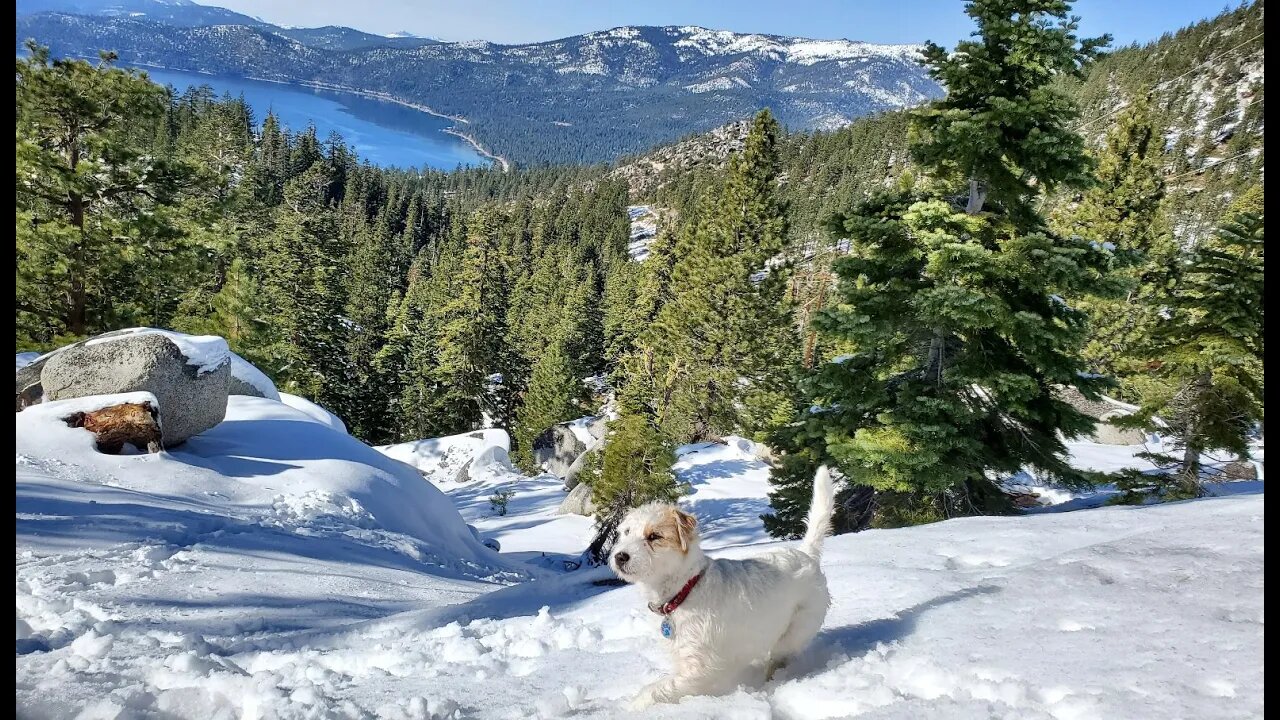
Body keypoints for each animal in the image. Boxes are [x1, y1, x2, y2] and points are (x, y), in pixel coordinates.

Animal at [611, 466, 839, 707]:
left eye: (654, 536)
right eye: (626, 532)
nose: (620, 556)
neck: (684, 589)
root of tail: (806, 553)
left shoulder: (700, 669)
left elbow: (657, 689)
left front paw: (633, 706)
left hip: (795, 631)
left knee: (779, 657)